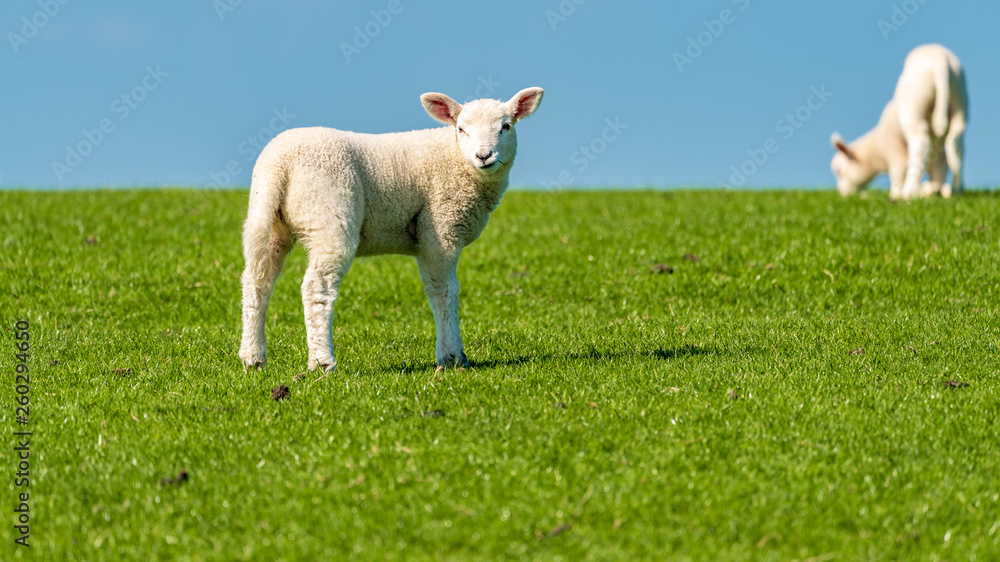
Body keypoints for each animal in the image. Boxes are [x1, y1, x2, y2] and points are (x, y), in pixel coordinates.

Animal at [238, 87, 544, 372]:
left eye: (506, 126)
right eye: (461, 129)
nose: (484, 156)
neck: (455, 157)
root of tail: (279, 163)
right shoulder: (440, 230)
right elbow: (444, 292)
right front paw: (452, 356)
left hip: (267, 220)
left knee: (257, 282)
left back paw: (253, 357)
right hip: (328, 216)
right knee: (317, 287)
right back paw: (323, 362)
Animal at [830, 44, 968, 199]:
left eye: (838, 170)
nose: (842, 194)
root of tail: (940, 60)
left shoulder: (894, 148)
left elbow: (898, 169)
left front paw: (896, 193)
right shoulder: (938, 158)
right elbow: (940, 169)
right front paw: (935, 190)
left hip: (914, 105)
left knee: (919, 144)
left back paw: (909, 191)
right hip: (959, 101)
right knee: (955, 144)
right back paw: (956, 189)